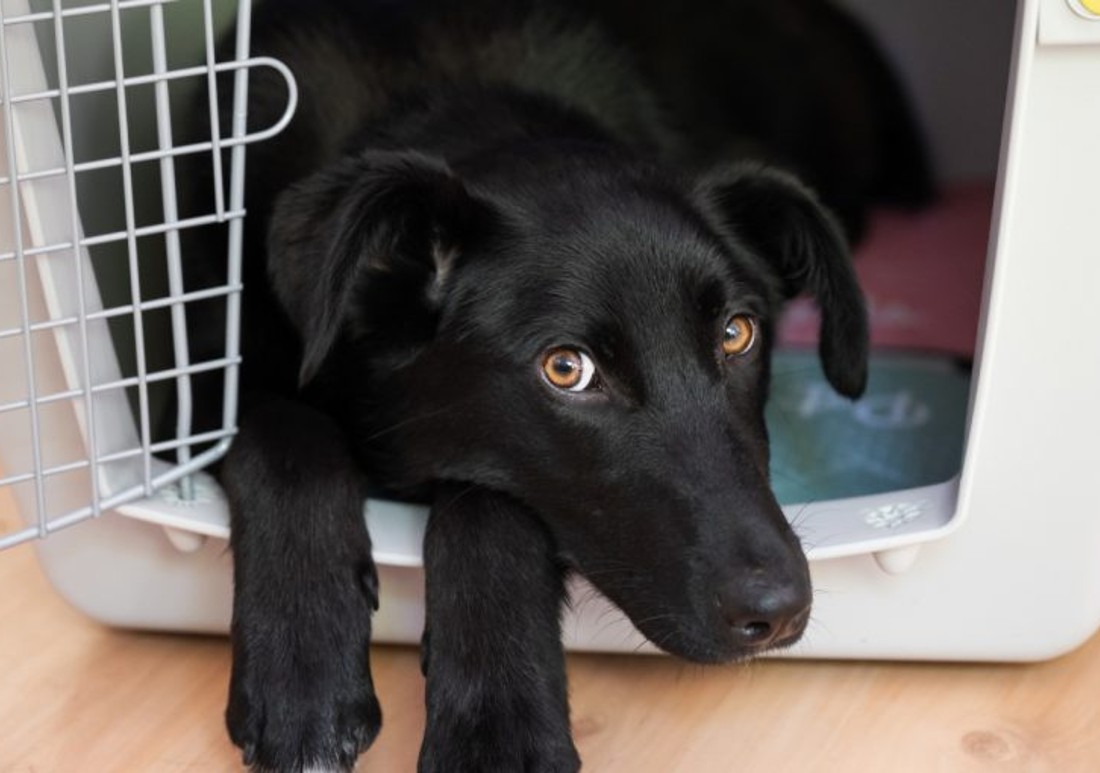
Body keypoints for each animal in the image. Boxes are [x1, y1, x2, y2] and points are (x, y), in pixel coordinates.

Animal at [184, 3, 932, 769]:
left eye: (737, 333)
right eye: (566, 369)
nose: (777, 610)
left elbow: (488, 505)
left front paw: (498, 729)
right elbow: (286, 438)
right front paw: (301, 665)